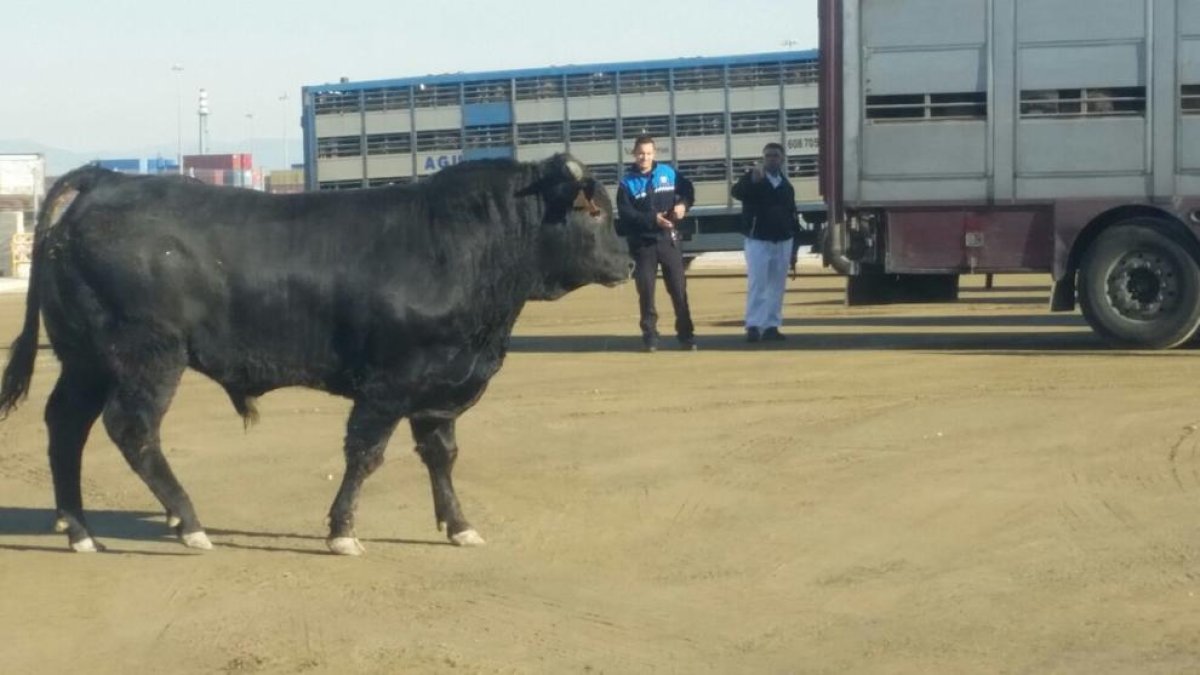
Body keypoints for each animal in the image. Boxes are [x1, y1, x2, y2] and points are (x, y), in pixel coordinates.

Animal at [0, 152, 633, 552]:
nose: (627, 263)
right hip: (146, 356)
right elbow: (365, 456)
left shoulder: (439, 386)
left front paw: (459, 525)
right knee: (131, 430)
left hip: (85, 359)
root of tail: (107, 181)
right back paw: (189, 522)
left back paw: (79, 529)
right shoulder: (388, 386)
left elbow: (441, 456)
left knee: (65, 426)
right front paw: (342, 531)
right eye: (594, 211)